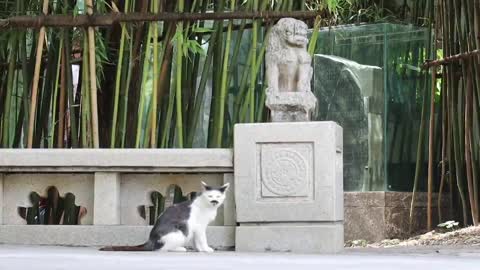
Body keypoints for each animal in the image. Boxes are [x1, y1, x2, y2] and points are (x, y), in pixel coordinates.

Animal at [99, 181, 229, 253]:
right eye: (210, 196)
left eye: (218, 196)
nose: (214, 201)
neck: (208, 207)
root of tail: (150, 240)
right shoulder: (199, 227)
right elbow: (202, 239)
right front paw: (206, 249)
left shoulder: (194, 229)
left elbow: (196, 241)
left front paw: (199, 249)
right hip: (180, 232)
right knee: (160, 249)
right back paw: (180, 249)